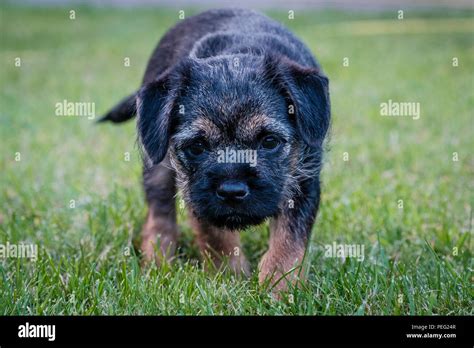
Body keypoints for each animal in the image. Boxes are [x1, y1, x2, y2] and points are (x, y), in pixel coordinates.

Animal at [100, 8, 330, 290]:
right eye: (197, 146)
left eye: (269, 142)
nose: (231, 191)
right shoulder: (195, 192)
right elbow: (215, 235)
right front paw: (230, 278)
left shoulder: (304, 181)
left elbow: (289, 242)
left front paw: (279, 288)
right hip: (157, 164)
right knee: (159, 215)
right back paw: (158, 264)